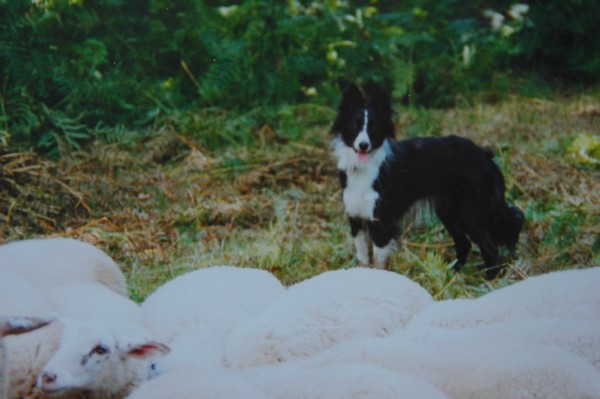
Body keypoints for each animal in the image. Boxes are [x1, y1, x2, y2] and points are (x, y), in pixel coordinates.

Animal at [332, 83, 524, 280]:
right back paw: (451, 274)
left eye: (373, 128)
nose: (363, 145)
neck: (364, 167)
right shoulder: (356, 218)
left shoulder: (381, 221)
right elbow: (363, 258)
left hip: (470, 213)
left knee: (491, 249)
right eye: (354, 126)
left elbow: (378, 261)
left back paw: (488, 280)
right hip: (448, 211)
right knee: (464, 244)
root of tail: (484, 156)